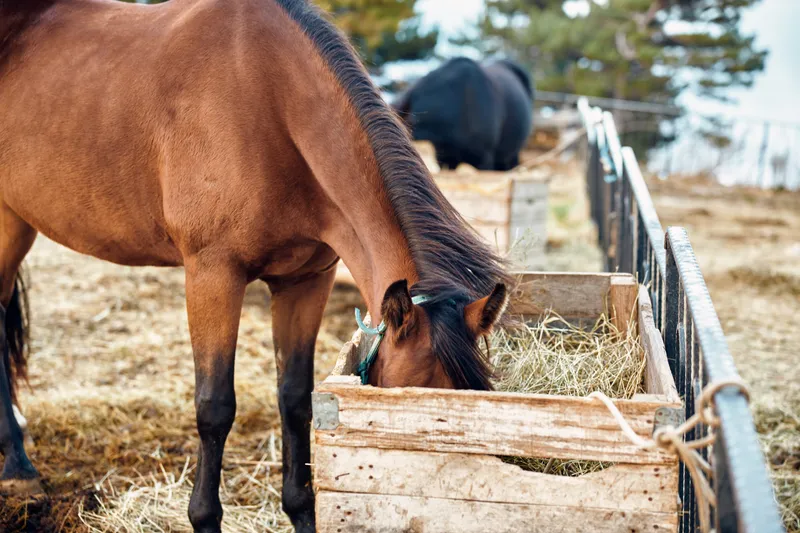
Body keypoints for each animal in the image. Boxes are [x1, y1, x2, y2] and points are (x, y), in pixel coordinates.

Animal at [0, 1, 510, 532]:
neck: (269, 101)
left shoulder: (305, 281)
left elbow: (295, 398)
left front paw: (301, 510)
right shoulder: (212, 276)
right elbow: (214, 406)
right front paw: (203, 516)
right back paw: (19, 469)